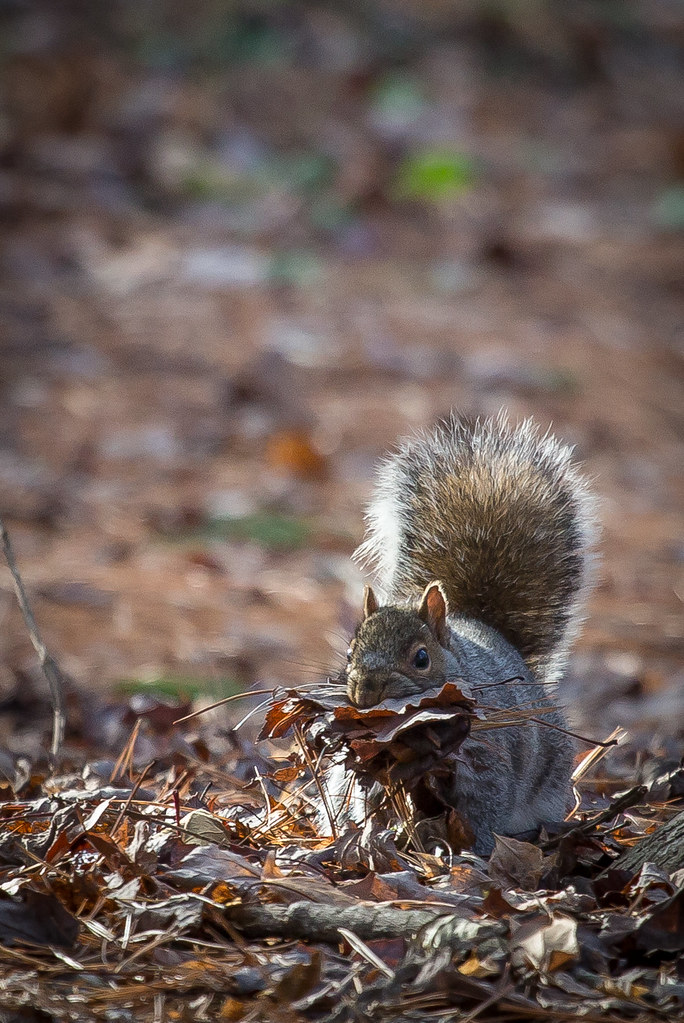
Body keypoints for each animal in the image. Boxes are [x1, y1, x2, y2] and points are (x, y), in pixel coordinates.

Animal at [343, 412, 598, 855]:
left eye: (421, 658)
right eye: (349, 652)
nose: (365, 692)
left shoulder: (487, 758)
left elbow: (484, 810)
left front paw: (472, 855)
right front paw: (370, 832)